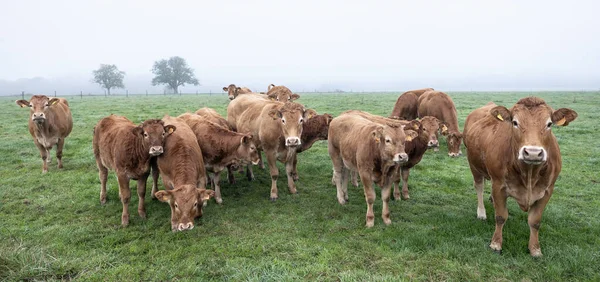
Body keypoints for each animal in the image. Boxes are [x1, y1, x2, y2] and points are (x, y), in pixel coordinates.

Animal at [464, 97, 576, 258]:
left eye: (549, 124)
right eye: (515, 122)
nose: (533, 153)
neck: (529, 173)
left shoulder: (547, 191)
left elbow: (535, 221)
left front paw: (535, 249)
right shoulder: (499, 185)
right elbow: (500, 216)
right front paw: (496, 244)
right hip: (474, 165)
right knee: (479, 186)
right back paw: (481, 212)